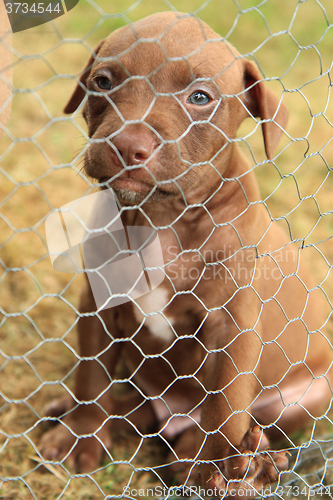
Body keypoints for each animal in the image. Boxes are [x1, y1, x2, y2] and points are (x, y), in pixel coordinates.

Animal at [39, 11, 330, 496]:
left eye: (199, 98)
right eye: (103, 81)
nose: (128, 145)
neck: (162, 217)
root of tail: (171, 417)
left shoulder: (234, 329)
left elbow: (226, 405)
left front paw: (220, 470)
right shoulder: (97, 306)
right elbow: (91, 376)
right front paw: (80, 435)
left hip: (306, 397)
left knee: (238, 424)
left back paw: (225, 463)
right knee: (133, 409)